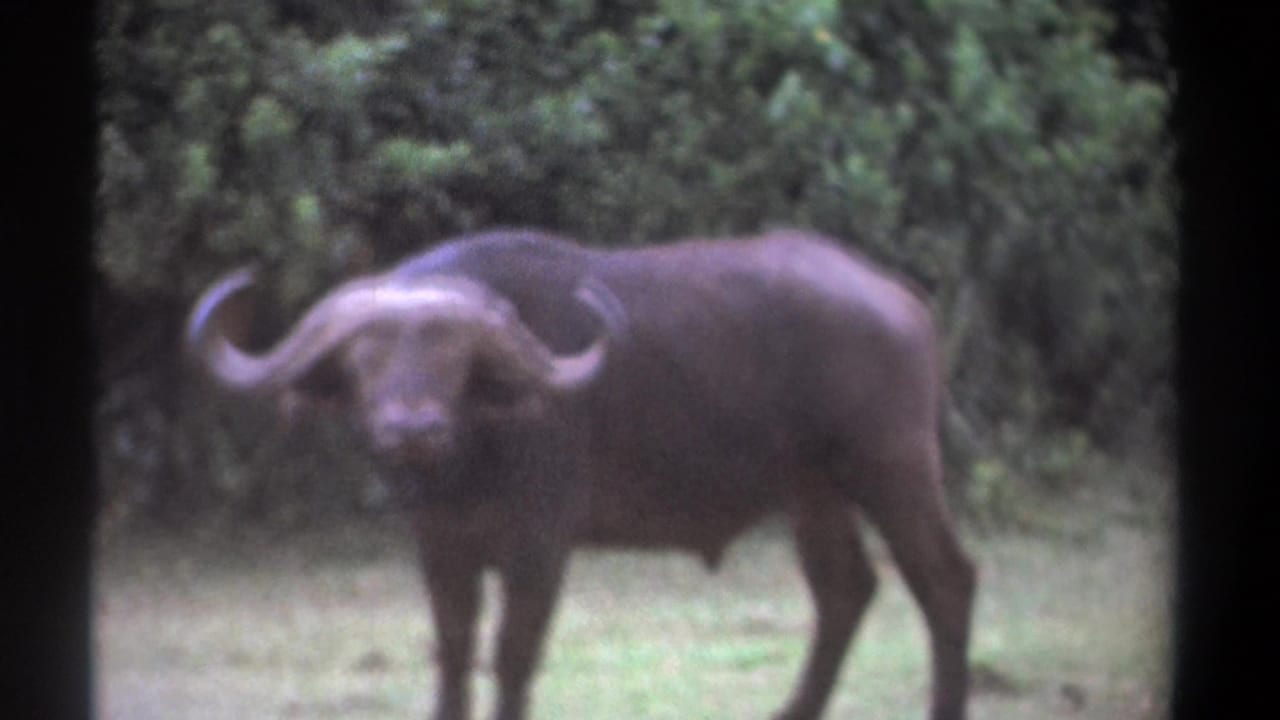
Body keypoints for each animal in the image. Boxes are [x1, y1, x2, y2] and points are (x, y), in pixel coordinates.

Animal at [186, 229, 976, 720]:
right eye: (364, 359)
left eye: (454, 358)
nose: (413, 429)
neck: (471, 459)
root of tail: (899, 295)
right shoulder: (441, 548)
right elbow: (453, 653)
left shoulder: (540, 547)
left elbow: (512, 656)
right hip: (812, 490)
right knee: (846, 588)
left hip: (893, 466)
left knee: (944, 580)